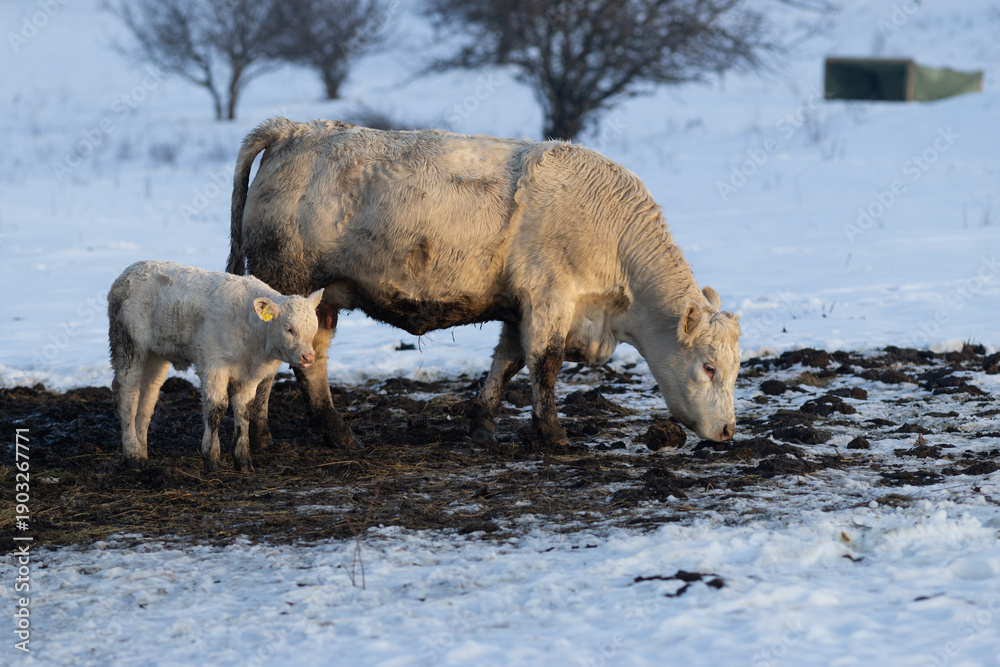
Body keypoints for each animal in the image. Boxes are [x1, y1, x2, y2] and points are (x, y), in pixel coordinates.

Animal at [108, 260, 324, 471]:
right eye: (289, 329)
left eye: (314, 327)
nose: (308, 356)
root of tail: (130, 271)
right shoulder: (214, 365)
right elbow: (217, 408)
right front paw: (211, 458)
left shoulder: (250, 375)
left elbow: (244, 411)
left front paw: (243, 461)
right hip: (128, 345)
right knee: (127, 396)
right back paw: (133, 456)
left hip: (156, 355)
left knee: (148, 397)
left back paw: (142, 451)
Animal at [226, 117, 741, 452]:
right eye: (709, 366)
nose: (728, 431)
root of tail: (294, 130)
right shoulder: (549, 300)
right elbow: (545, 365)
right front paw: (554, 435)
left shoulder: (520, 308)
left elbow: (507, 363)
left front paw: (481, 426)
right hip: (288, 284)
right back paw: (282, 436)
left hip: (322, 299)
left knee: (309, 363)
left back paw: (318, 434)